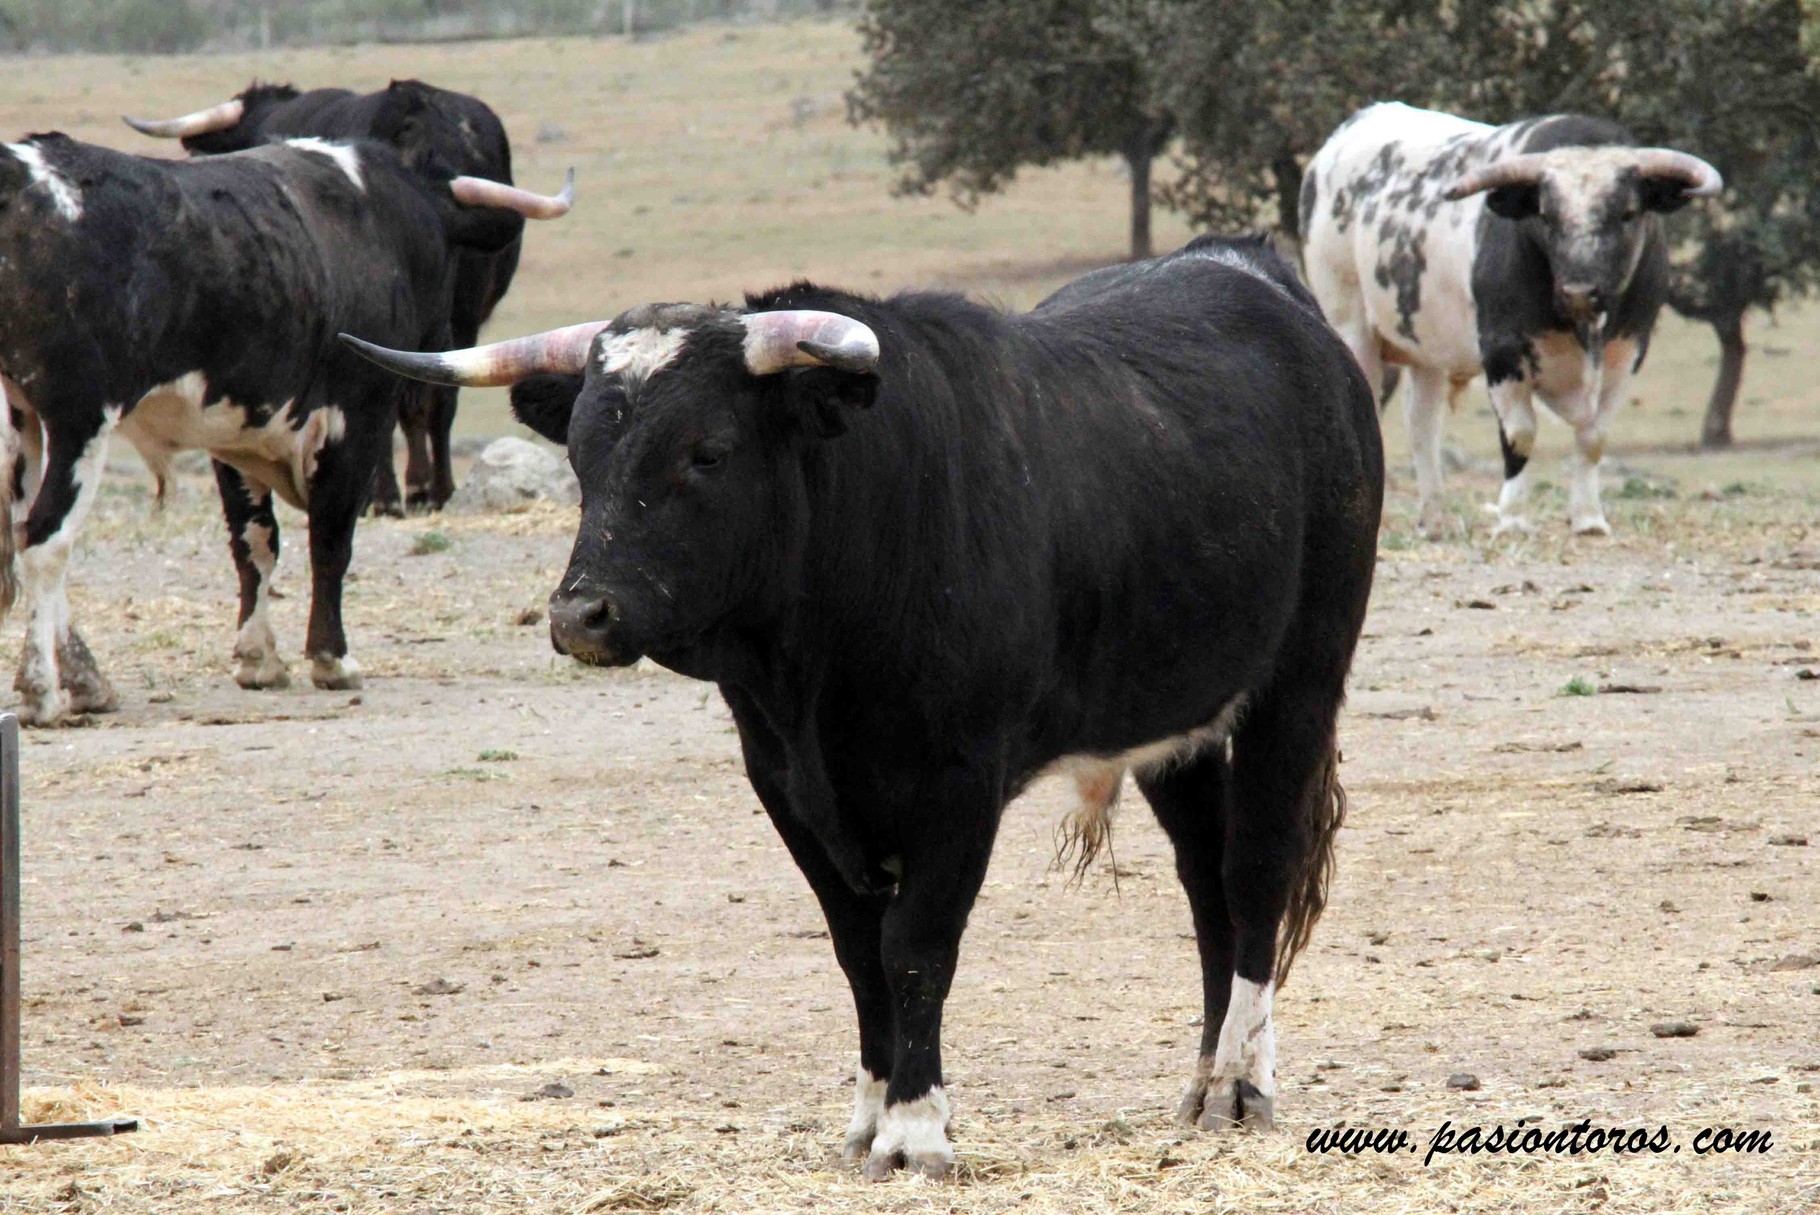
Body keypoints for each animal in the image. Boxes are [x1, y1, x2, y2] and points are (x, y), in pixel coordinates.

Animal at [0, 132, 570, 725]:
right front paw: (331, 658)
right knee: (46, 539)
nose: (447, 334)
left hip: (25, 420)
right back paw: (43, 690)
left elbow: (255, 544)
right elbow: (331, 540)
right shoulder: (357, 419)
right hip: (78, 422)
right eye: (446, 252)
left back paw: (88, 679)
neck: (377, 213)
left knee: (21, 528)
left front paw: (260, 659)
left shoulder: (233, 434)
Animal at [340, 234, 1383, 1177]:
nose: (580, 614)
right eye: (584, 457)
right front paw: (870, 1117)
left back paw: (1243, 1084)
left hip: (1299, 680)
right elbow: (857, 951)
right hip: (1177, 720)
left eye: (708, 451)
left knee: (1255, 870)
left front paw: (918, 1130)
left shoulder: (959, 785)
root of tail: (1251, 274)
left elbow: (916, 946)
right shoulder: (787, 785)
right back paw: (1205, 1080)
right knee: (1206, 883)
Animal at [1300, 102, 1721, 537]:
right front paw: (1512, 517)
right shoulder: (1503, 353)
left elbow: (1593, 438)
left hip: (1425, 345)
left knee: (1423, 425)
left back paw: (1434, 518)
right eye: (1547, 215)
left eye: (1627, 213)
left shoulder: (1627, 353)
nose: (1579, 291)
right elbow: (1520, 436)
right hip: (1351, 324)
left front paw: (1589, 517)